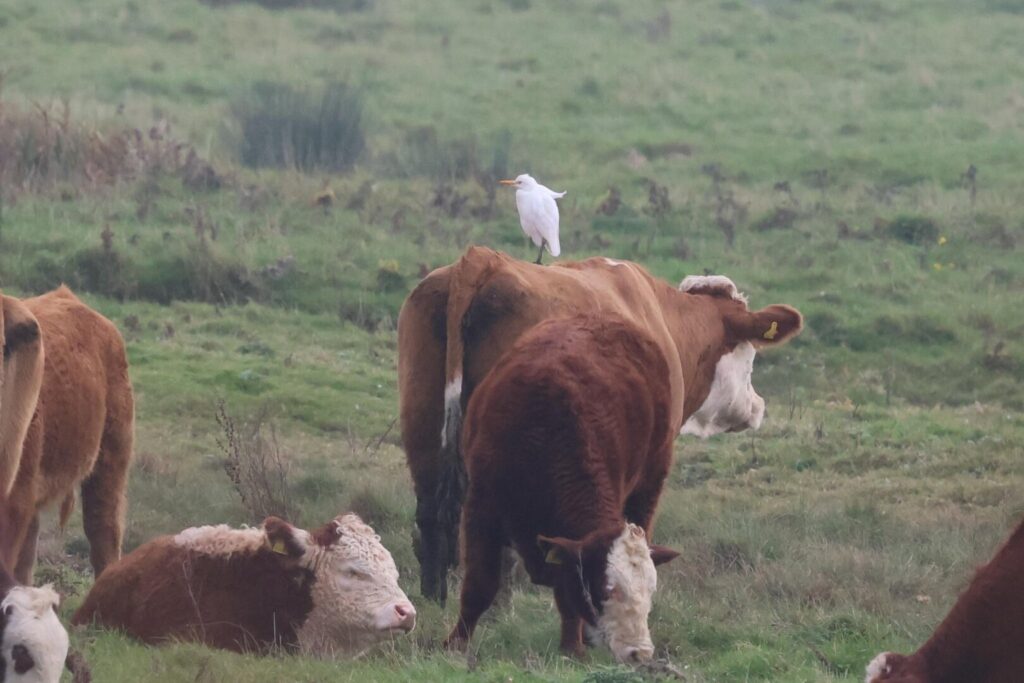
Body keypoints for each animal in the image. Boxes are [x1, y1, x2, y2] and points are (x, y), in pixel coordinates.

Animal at [399, 248, 806, 602]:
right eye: (750, 354)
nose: (756, 406)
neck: (664, 322)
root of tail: (481, 260)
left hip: (422, 417)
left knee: (431, 516)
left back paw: (435, 599)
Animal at [444, 317, 684, 663]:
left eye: (650, 591)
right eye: (607, 589)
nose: (639, 652)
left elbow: (566, 592)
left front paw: (572, 647)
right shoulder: (481, 507)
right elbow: (479, 584)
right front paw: (456, 644)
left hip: (650, 483)